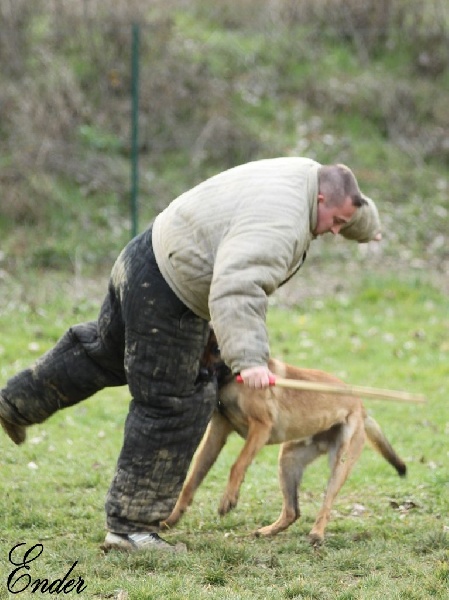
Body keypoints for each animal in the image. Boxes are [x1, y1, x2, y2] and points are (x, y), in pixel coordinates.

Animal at [162, 342, 406, 544]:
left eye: (218, 350)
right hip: (288, 460)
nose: (201, 374)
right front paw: (172, 518)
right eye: (202, 347)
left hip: (340, 463)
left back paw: (317, 534)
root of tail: (360, 404)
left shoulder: (260, 428)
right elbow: (192, 480)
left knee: (326, 504)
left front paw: (229, 498)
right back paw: (269, 531)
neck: (234, 379)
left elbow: (237, 465)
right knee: (292, 511)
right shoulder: (217, 434)